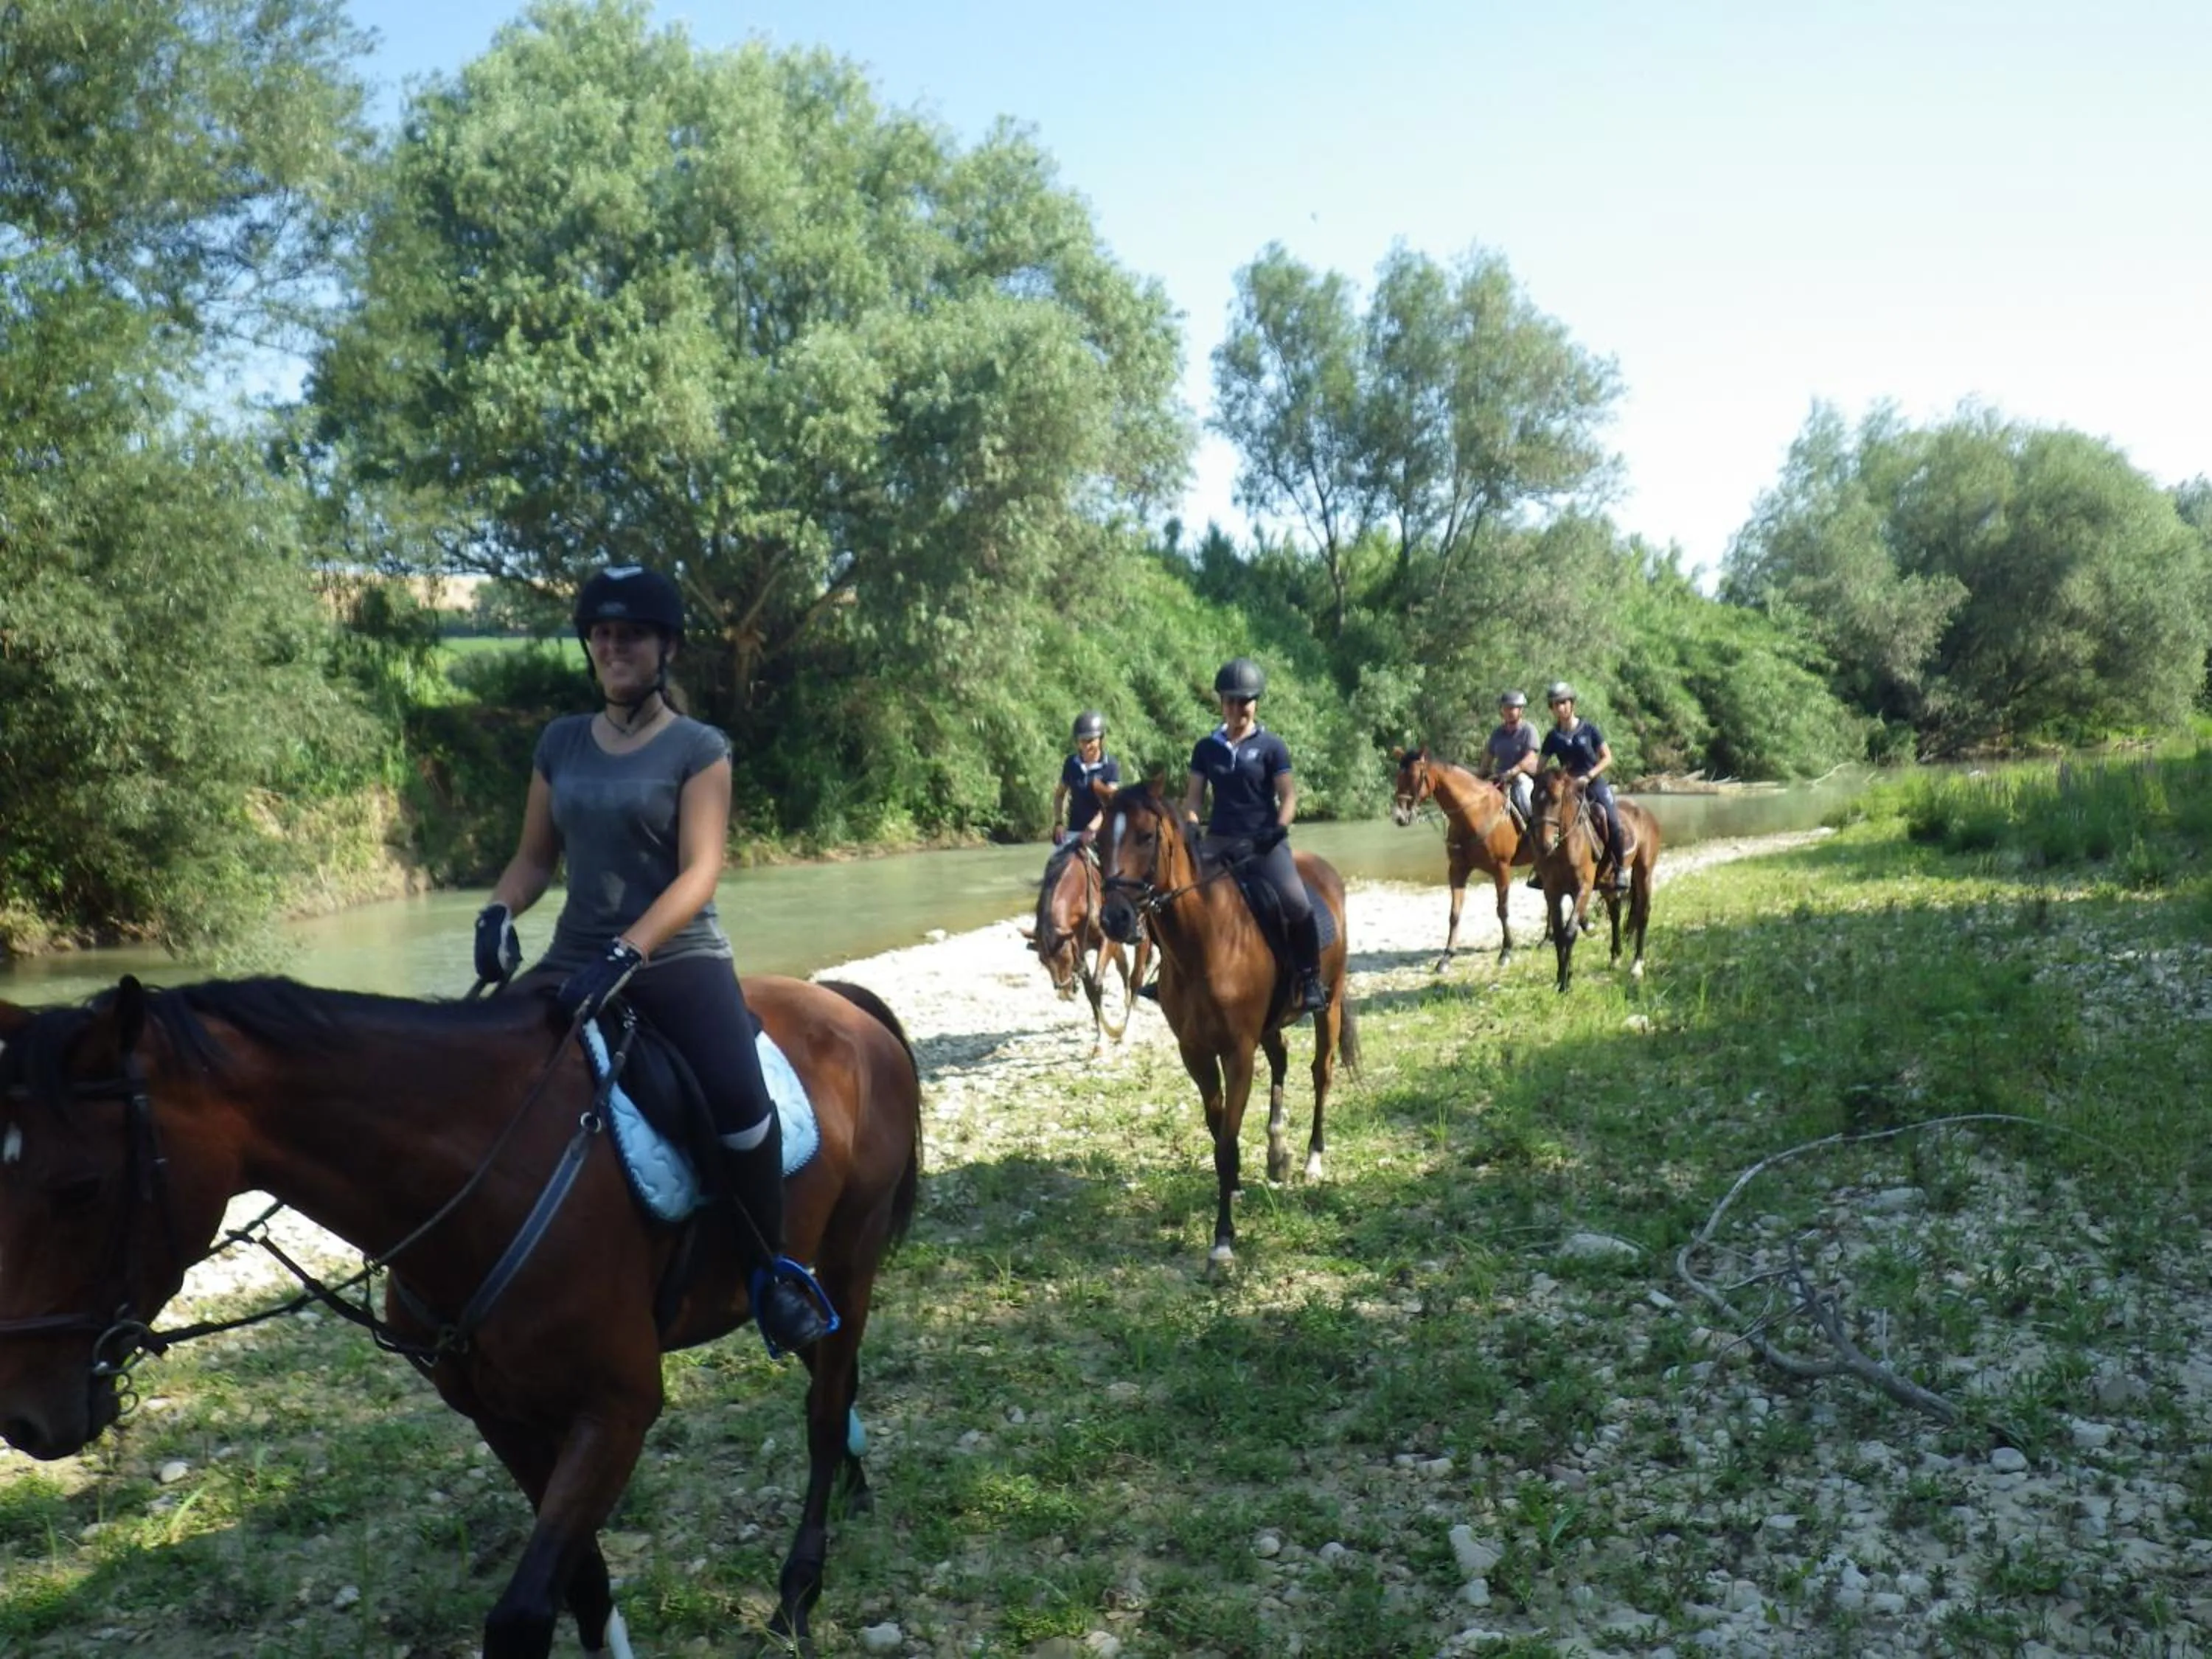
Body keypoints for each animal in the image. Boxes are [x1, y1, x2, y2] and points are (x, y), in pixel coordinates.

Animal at [0, 971, 921, 1659]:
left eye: (80, 1188)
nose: (26, 1418)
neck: (482, 1172)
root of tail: (844, 1004)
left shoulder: (617, 1409)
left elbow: (522, 1616)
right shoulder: (498, 1415)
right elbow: (583, 1586)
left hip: (850, 1253)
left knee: (822, 1409)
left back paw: (798, 1594)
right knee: (828, 1371)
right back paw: (856, 1482)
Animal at [1018, 839, 1152, 1045]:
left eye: (1064, 958)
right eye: (1043, 961)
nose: (1064, 993)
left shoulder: (1105, 941)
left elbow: (1097, 983)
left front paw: (1110, 1033)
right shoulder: (1079, 950)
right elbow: (1091, 989)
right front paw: (1101, 1037)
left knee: (1136, 974)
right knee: (1124, 967)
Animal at [1092, 780, 1357, 1263]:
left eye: (1146, 836)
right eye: (1099, 843)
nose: (1114, 919)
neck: (1205, 942)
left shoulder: (1237, 1053)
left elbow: (1227, 1142)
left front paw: (1222, 1241)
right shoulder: (1195, 1053)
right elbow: (1219, 1134)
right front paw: (1233, 1189)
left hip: (1327, 1006)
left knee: (1321, 1074)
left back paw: (1312, 1158)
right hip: (1271, 1025)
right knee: (1282, 1061)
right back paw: (1277, 1151)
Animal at [1390, 747, 1532, 969]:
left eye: (1414, 776)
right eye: (1398, 777)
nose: (1399, 816)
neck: (1474, 813)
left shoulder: (1501, 869)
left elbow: (1502, 910)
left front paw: (1506, 950)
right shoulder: (1458, 869)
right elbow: (1454, 913)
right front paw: (1447, 956)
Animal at [1529, 770, 1660, 993]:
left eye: (1556, 800)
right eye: (1532, 798)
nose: (1543, 846)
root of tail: (1646, 813)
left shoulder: (1583, 888)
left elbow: (1570, 931)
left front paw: (1566, 983)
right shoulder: (1552, 891)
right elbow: (1559, 933)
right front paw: (1562, 976)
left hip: (1644, 873)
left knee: (1643, 913)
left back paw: (1637, 965)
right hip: (1609, 883)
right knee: (1616, 913)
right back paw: (1615, 957)